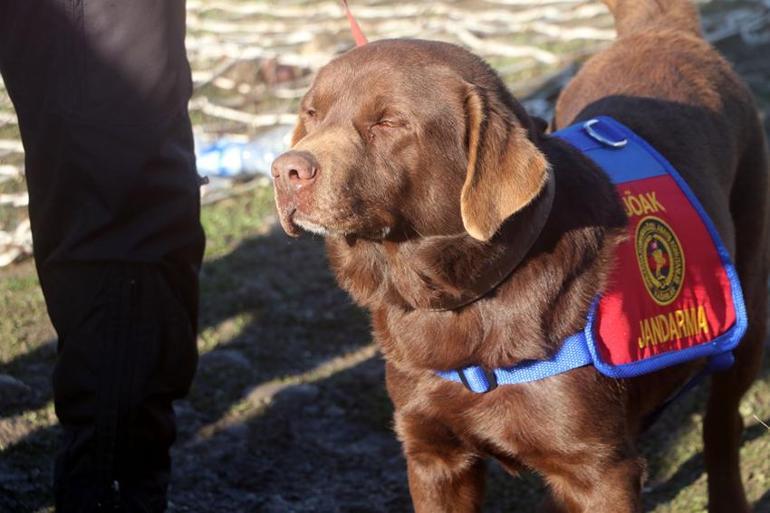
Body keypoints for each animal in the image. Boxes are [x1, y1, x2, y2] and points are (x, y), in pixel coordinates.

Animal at [272, 2, 768, 510]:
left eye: (388, 122)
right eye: (312, 114)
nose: (285, 170)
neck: (462, 301)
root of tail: (662, 30)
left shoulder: (599, 470)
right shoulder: (432, 455)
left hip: (749, 305)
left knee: (722, 419)